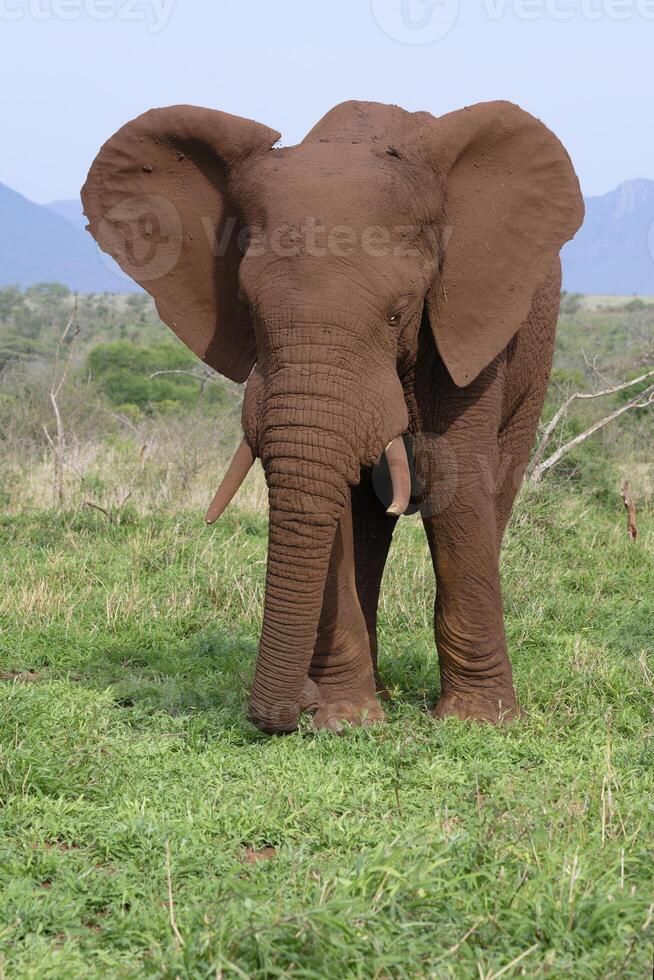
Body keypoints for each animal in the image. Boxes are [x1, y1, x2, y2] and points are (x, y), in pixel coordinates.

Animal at [80, 97, 584, 736]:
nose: (291, 708)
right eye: (248, 310)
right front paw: (345, 721)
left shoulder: (467, 323)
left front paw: (479, 724)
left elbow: (454, 481)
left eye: (398, 315)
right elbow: (338, 499)